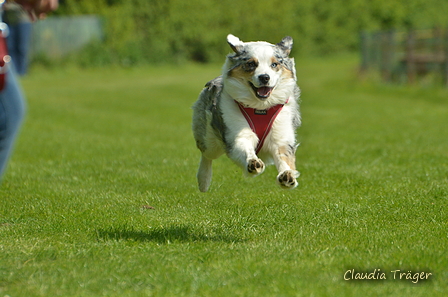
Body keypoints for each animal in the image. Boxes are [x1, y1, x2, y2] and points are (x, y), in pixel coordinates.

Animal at [191, 34, 300, 192]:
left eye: (274, 65)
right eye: (251, 64)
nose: (264, 77)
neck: (260, 107)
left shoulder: (282, 133)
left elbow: (284, 155)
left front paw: (287, 176)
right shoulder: (235, 131)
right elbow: (244, 146)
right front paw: (253, 163)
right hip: (209, 138)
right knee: (207, 154)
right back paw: (203, 181)